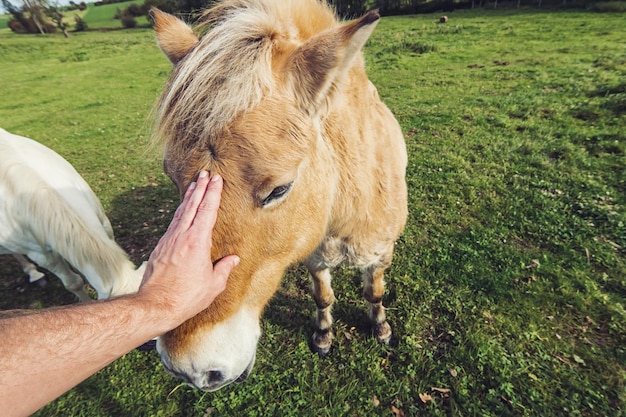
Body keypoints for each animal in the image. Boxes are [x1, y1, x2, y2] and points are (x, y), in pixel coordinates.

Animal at [150, 0, 404, 390]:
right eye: (173, 178)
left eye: (279, 189)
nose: (189, 367)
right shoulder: (314, 258)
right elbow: (322, 296)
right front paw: (323, 336)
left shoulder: (380, 254)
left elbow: (374, 293)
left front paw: (381, 329)